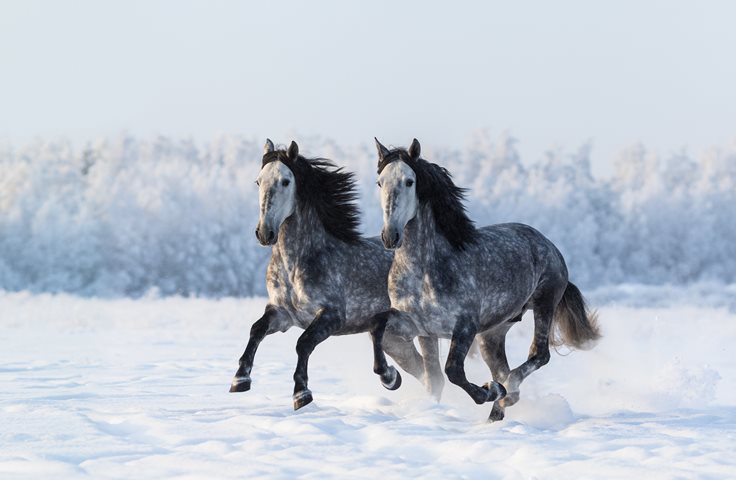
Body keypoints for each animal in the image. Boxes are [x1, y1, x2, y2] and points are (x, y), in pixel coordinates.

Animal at [229, 139, 445, 410]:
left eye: (286, 181)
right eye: (258, 181)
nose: (264, 233)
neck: (297, 265)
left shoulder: (332, 316)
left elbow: (303, 343)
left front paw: (301, 394)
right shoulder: (282, 314)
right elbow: (256, 329)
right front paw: (240, 379)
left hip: (423, 332)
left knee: (434, 374)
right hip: (394, 339)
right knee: (420, 369)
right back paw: (393, 379)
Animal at [369, 138, 600, 422]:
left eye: (409, 181)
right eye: (380, 182)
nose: (390, 236)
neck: (424, 272)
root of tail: (547, 243)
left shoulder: (465, 326)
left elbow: (453, 371)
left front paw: (490, 391)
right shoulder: (421, 328)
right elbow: (388, 337)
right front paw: (391, 378)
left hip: (544, 304)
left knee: (538, 355)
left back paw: (505, 391)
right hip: (492, 333)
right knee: (502, 368)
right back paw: (496, 412)